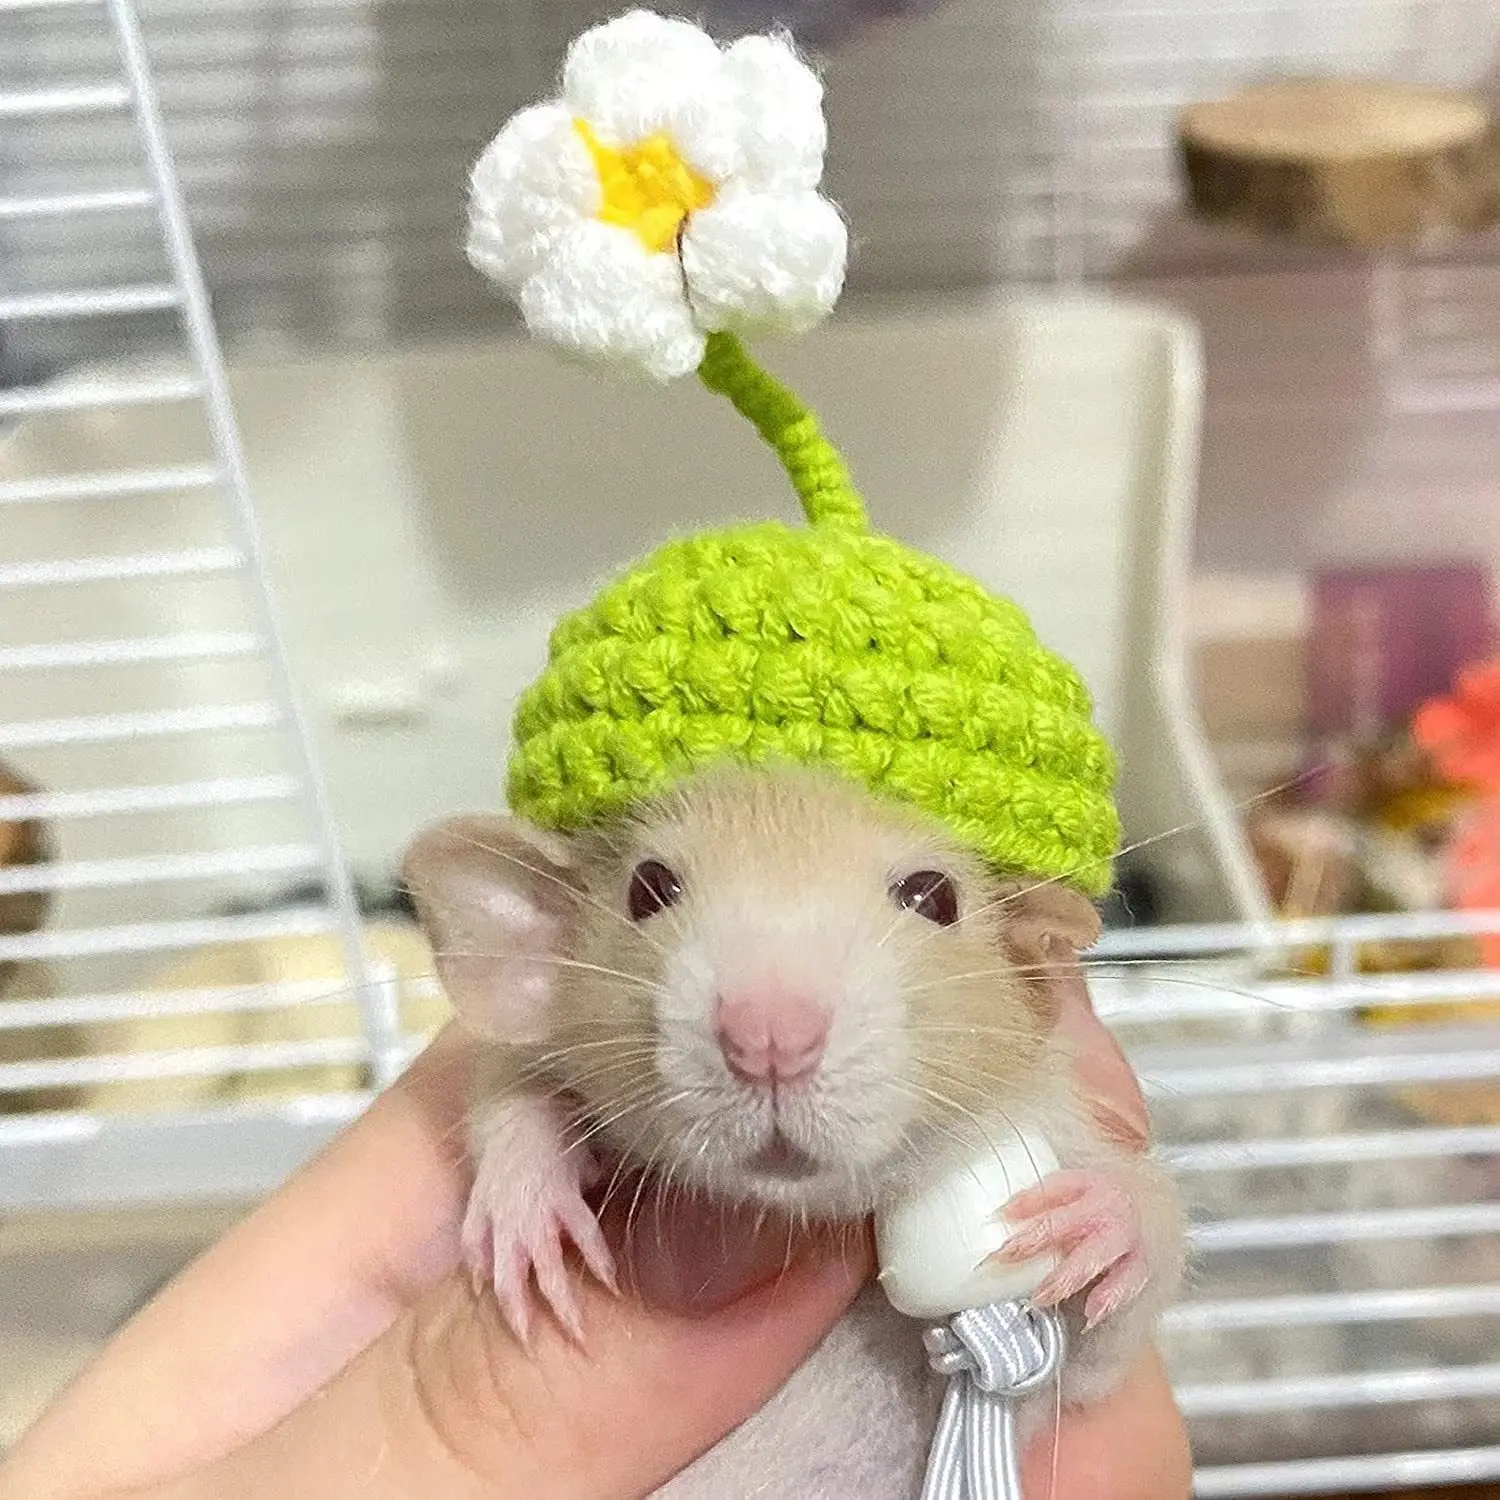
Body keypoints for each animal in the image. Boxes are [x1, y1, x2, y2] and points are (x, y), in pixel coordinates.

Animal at [403, 764, 1186, 1498]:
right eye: (648, 889)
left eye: (933, 897)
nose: (770, 1036)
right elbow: (506, 1080)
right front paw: (526, 1193)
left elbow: (1096, 1359)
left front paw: (1110, 1220)